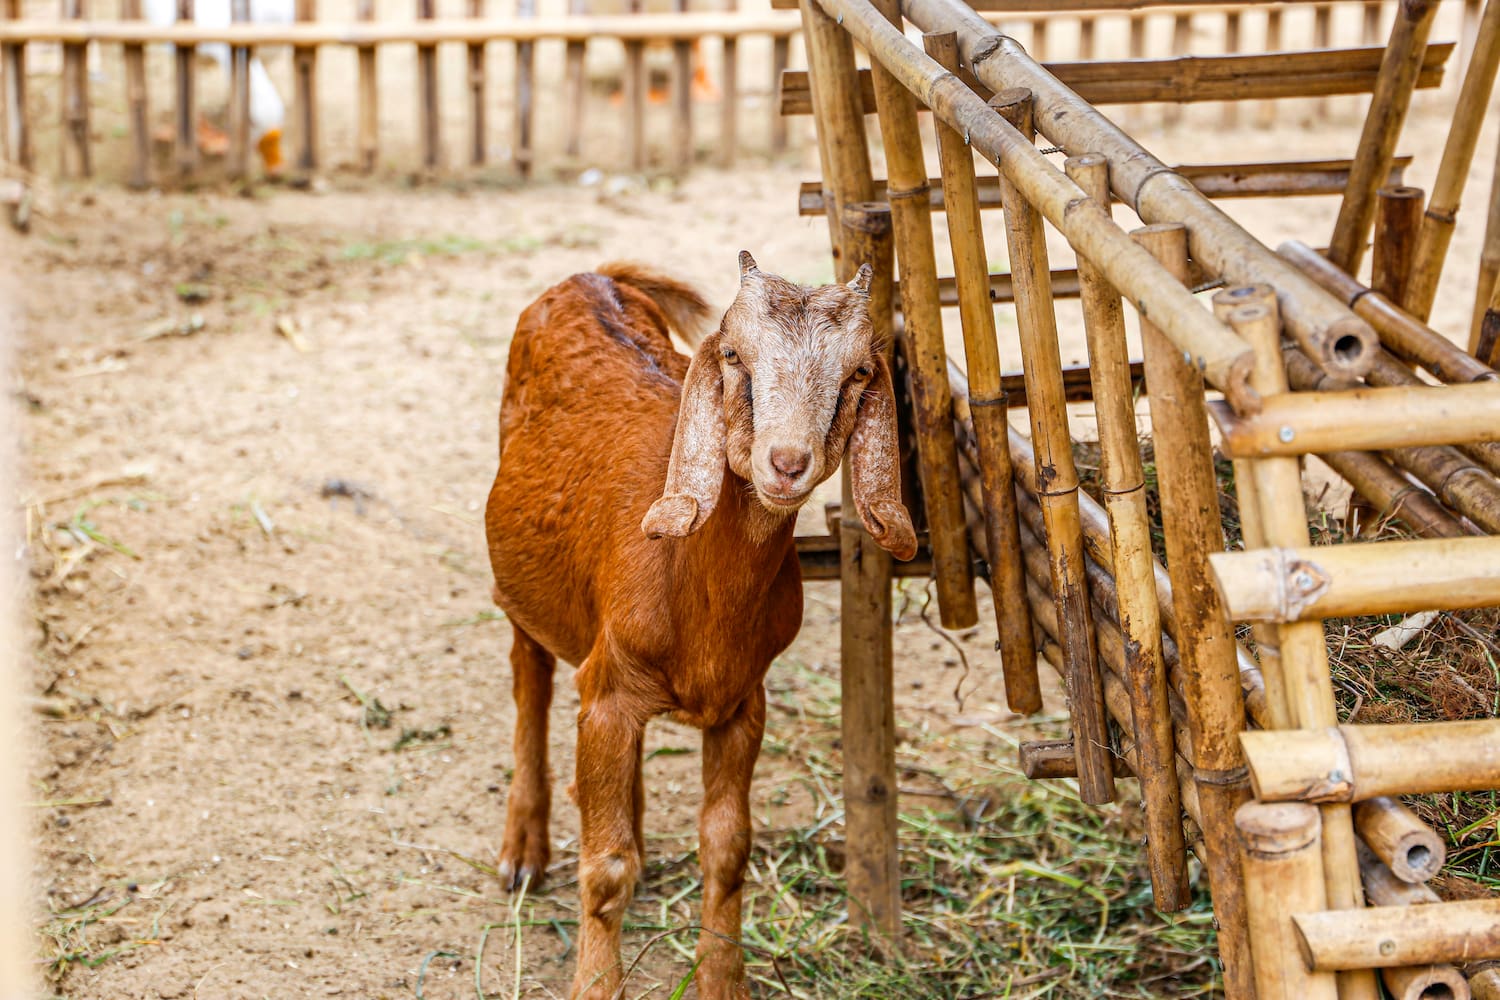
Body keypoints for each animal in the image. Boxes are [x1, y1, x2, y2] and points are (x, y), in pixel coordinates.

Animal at [484, 253, 916, 999]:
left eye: (859, 372)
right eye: (735, 356)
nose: (786, 463)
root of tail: (590, 275)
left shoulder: (742, 703)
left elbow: (727, 849)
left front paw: (722, 981)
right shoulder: (609, 695)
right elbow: (605, 870)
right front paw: (596, 983)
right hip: (524, 587)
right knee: (528, 677)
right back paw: (523, 853)